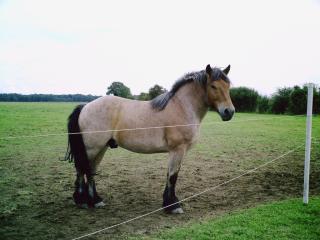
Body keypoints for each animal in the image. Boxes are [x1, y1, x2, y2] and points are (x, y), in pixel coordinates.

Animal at [65, 64, 235, 214]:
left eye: (228, 86)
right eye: (213, 86)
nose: (229, 112)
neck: (181, 107)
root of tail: (85, 106)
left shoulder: (178, 152)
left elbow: (170, 175)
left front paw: (168, 203)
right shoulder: (177, 150)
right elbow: (173, 176)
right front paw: (173, 206)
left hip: (101, 148)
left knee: (91, 171)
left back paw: (96, 200)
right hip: (91, 148)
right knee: (81, 170)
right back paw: (81, 201)